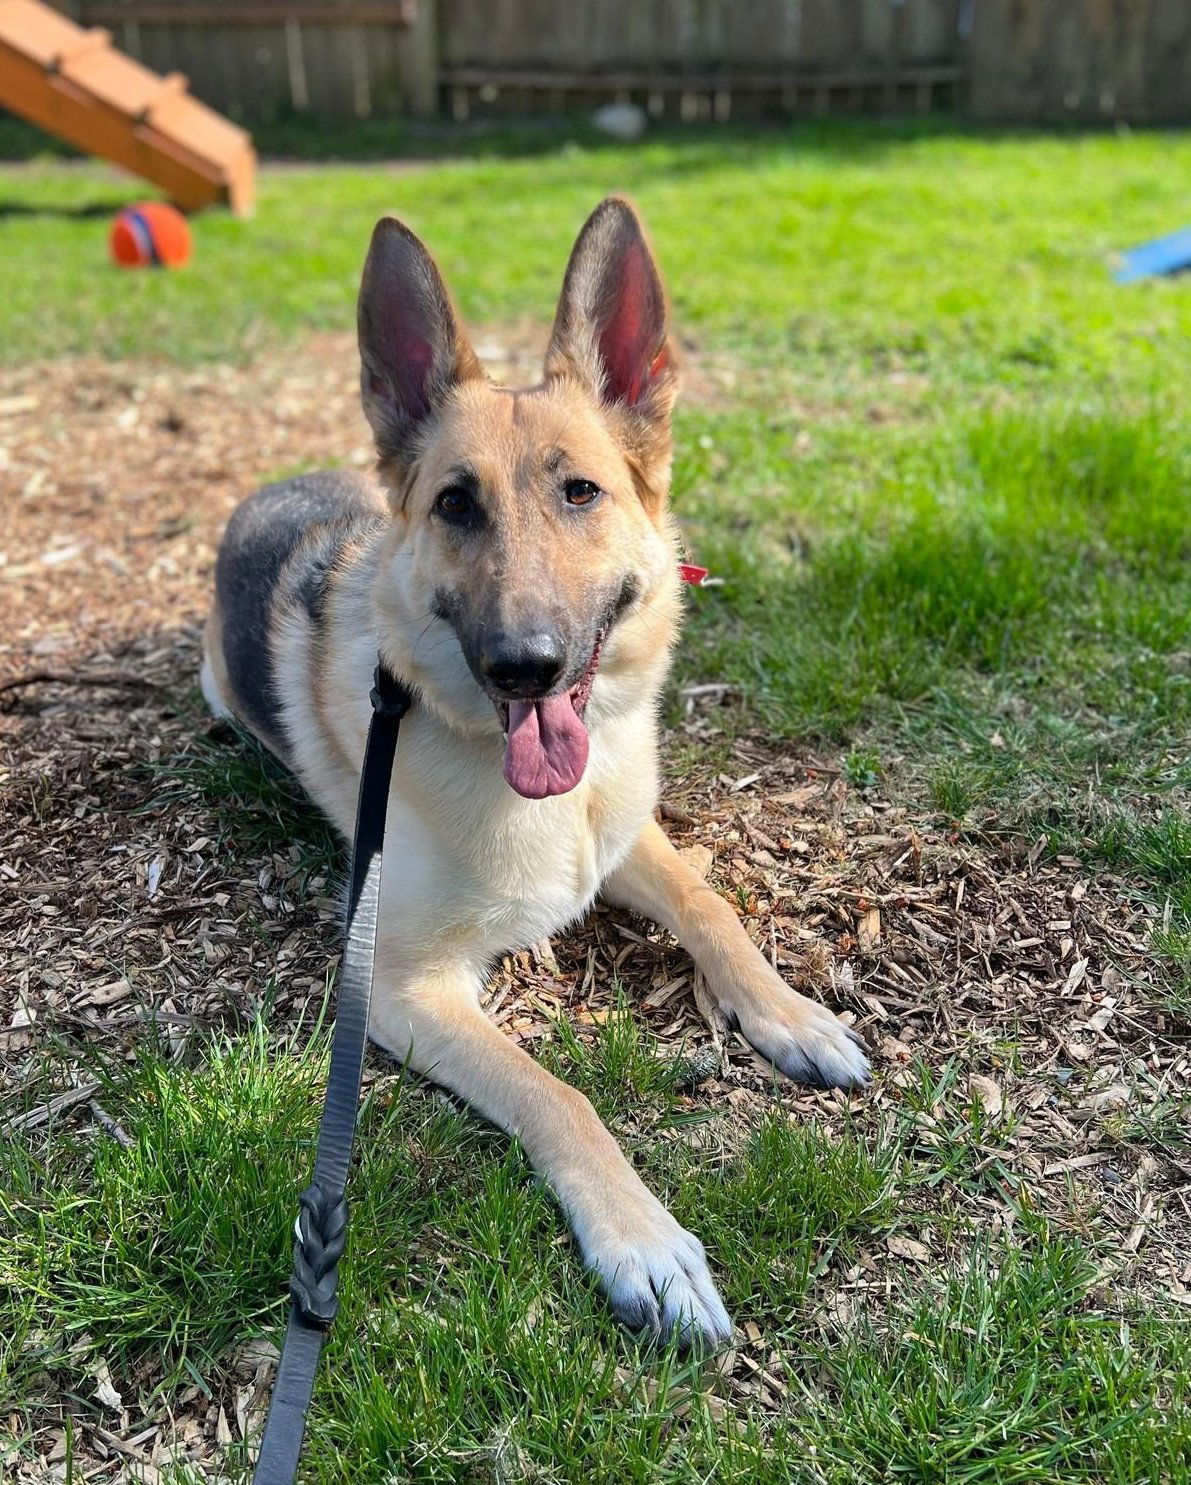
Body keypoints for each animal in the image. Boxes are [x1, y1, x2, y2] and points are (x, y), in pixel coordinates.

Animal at [204, 197, 867, 1348]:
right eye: (456, 505)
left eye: (581, 492)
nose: (526, 663)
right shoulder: (398, 988)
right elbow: (559, 1094)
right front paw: (643, 1242)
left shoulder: (627, 840)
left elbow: (713, 906)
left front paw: (788, 1012)